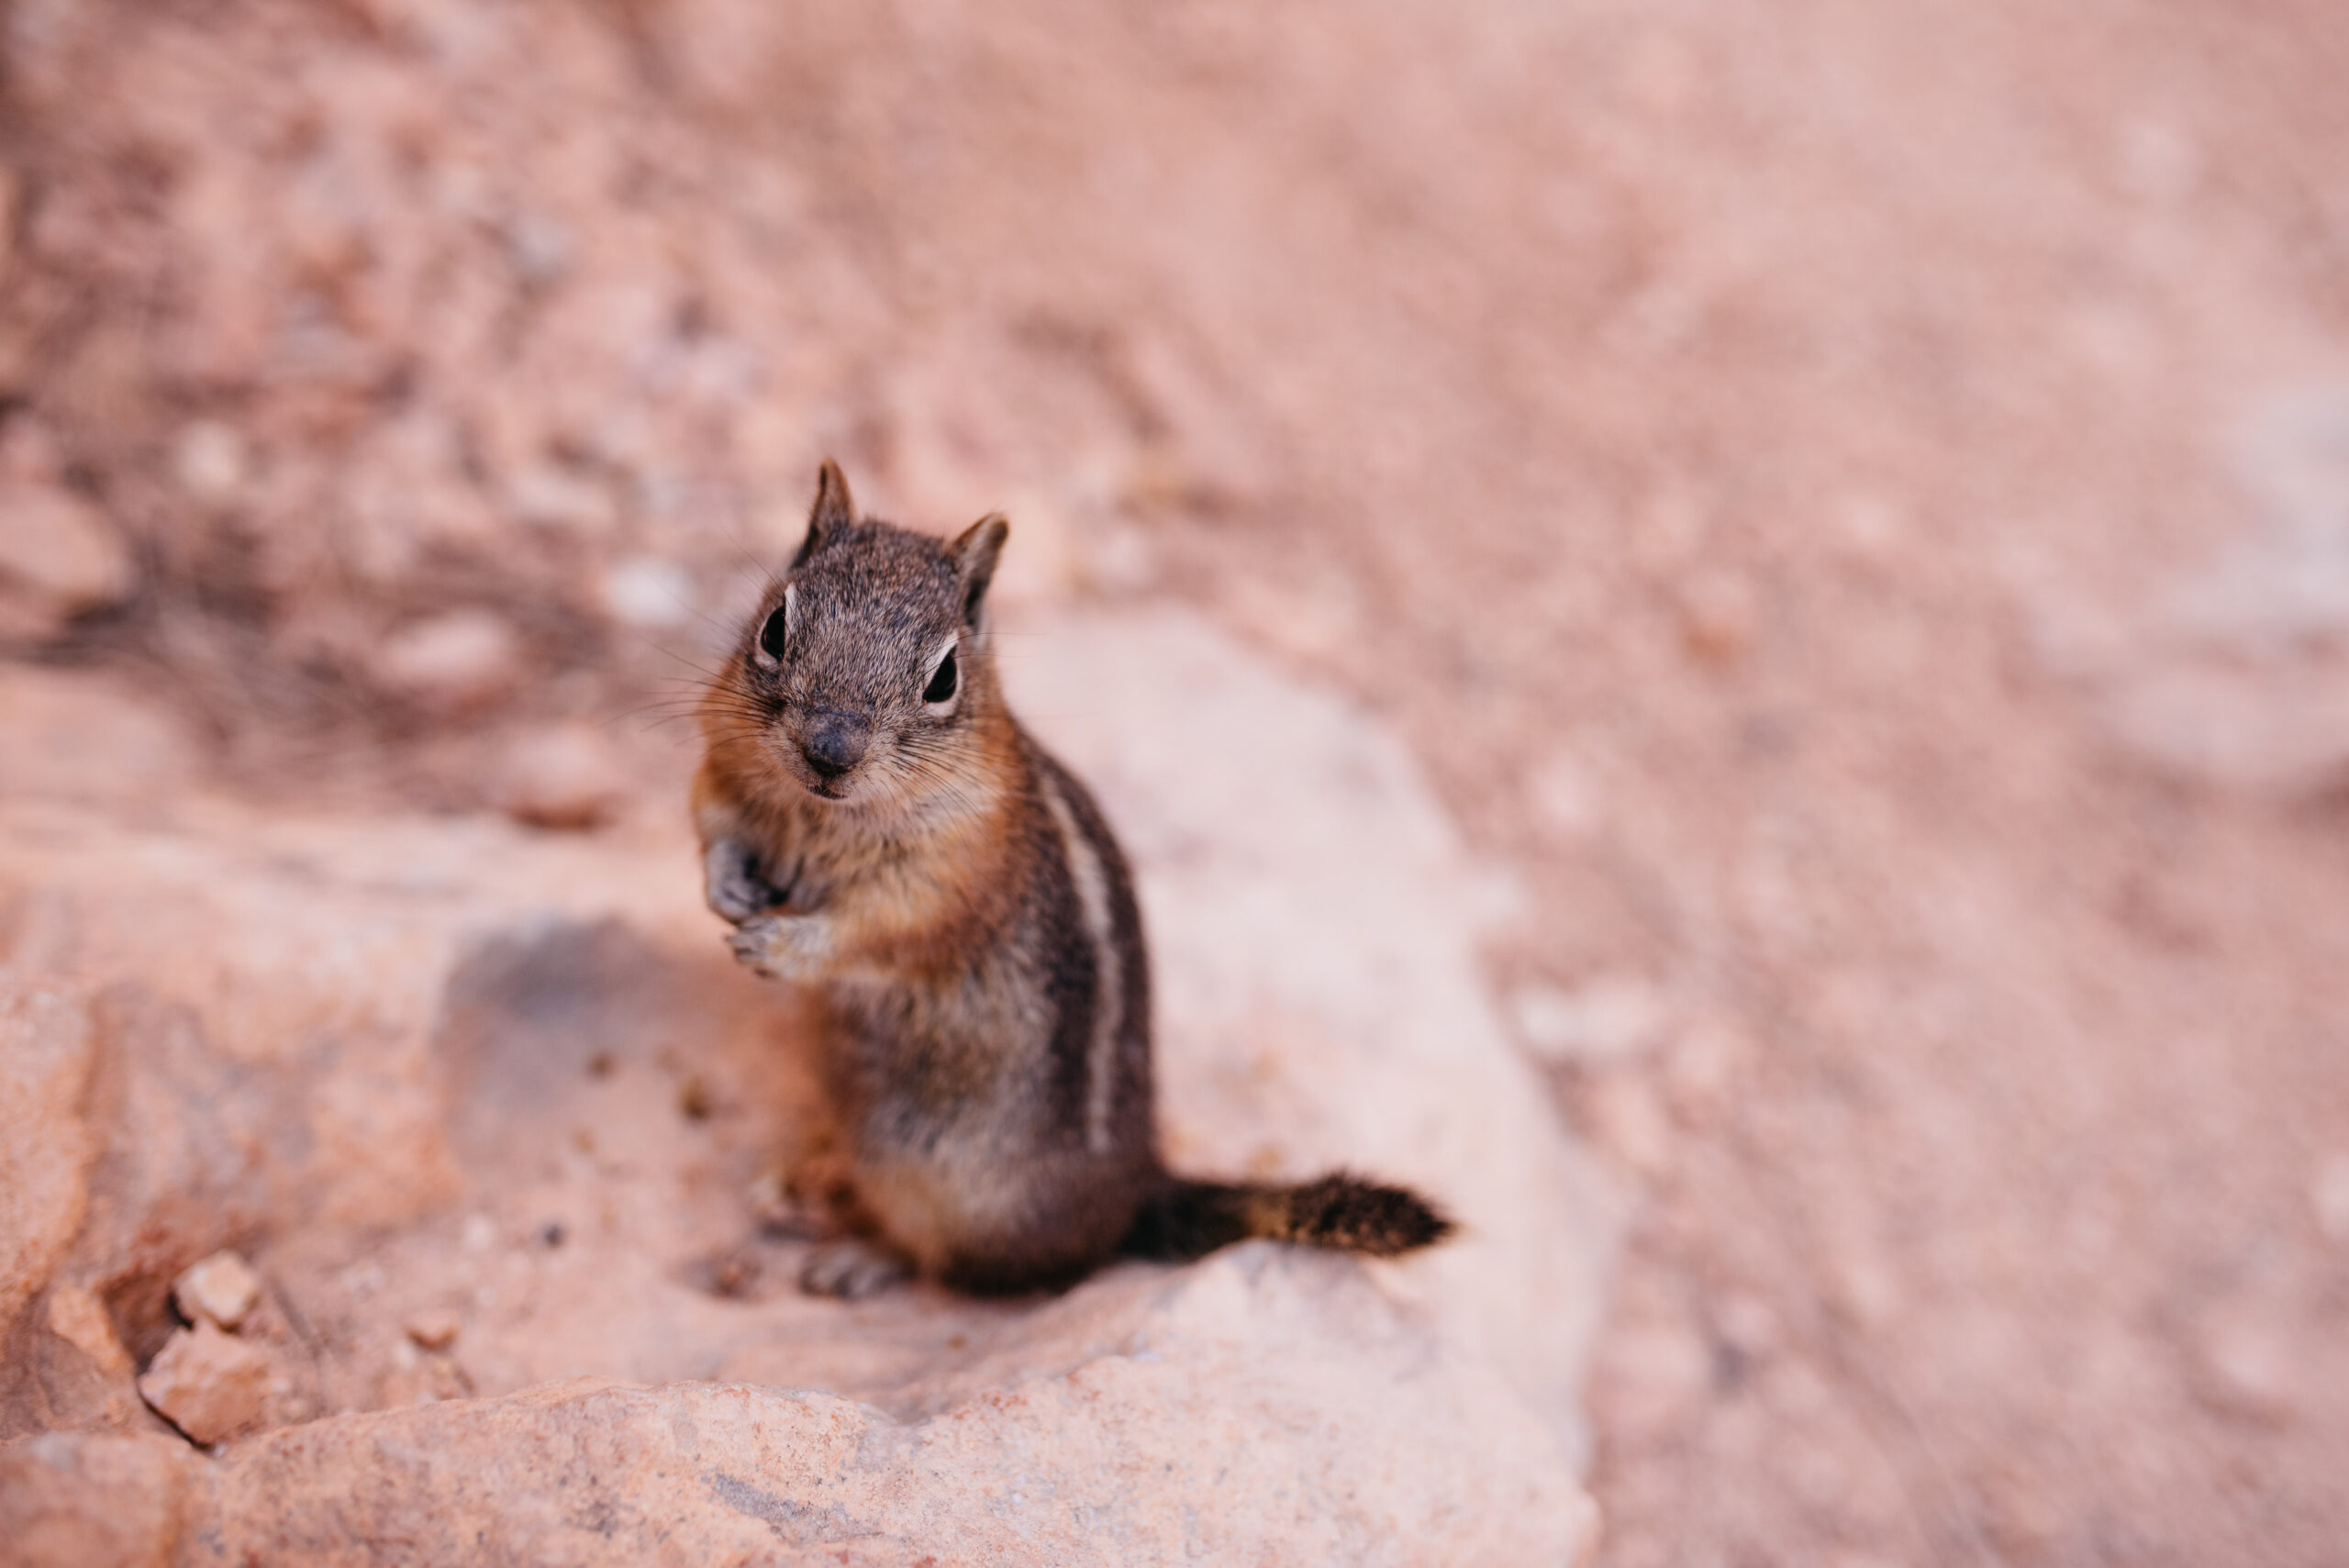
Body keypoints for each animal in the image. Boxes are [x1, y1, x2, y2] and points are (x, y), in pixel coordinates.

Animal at [694, 461, 1453, 1297]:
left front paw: (778, 945)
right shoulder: (722, 757)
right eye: (774, 626)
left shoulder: (951, 879)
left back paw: (857, 1256)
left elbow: (881, 930)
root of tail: (1137, 1189)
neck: (820, 813)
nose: (829, 750)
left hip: (944, 1191)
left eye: (944, 677)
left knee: (950, 1264)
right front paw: (726, 889)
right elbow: (712, 825)